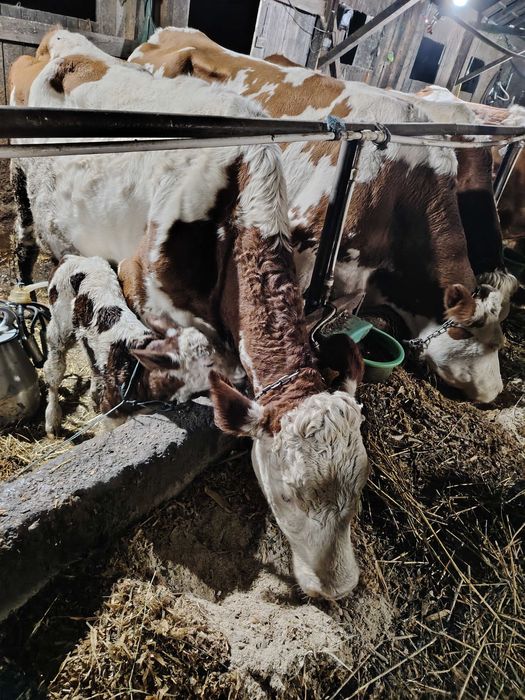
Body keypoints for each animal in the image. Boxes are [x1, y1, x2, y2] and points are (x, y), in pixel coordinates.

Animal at [45, 255, 229, 435]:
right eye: (207, 365)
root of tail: (71, 258)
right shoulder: (111, 411)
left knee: (91, 360)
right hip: (61, 326)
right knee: (54, 369)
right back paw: (52, 422)